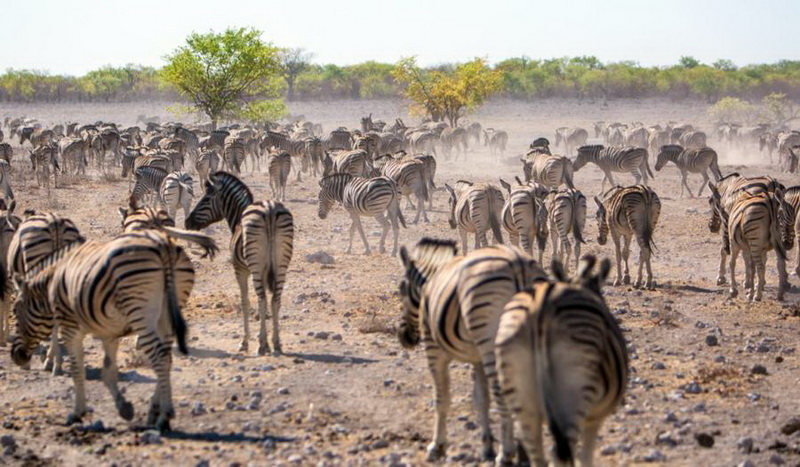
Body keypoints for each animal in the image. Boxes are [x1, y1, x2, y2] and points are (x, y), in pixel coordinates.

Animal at [10, 230, 197, 432]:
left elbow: (77, 370)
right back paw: (153, 411)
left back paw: (164, 416)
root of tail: (163, 244)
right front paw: (124, 408)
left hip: (141, 312)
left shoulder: (70, 328)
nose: (16, 357)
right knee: (167, 357)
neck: (51, 284)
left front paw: (77, 413)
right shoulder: (109, 332)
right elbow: (107, 373)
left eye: (15, 311)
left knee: (160, 358)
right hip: (168, 313)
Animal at [398, 239, 552, 466]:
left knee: (503, 394)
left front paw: (437, 447)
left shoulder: (434, 350)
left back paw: (506, 454)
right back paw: (527, 451)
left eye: (401, 289)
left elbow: (442, 399)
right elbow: (481, 400)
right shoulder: (477, 358)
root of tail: (518, 263)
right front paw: (486, 447)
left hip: (492, 343)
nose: (404, 338)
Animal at [494, 256, 632, 467]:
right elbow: (585, 458)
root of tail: (541, 305)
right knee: (561, 455)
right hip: (575, 394)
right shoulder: (595, 418)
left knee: (538, 455)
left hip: (521, 397)